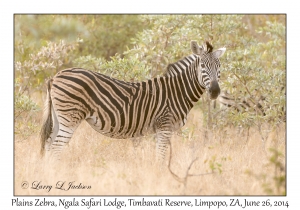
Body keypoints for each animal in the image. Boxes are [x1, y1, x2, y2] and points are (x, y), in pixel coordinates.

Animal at [41, 40, 226, 161]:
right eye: (203, 66)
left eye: (219, 67)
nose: (215, 91)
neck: (177, 91)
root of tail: (55, 76)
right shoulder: (164, 125)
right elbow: (161, 157)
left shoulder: (162, 129)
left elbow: (160, 155)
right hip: (70, 118)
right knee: (56, 148)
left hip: (59, 118)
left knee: (49, 146)